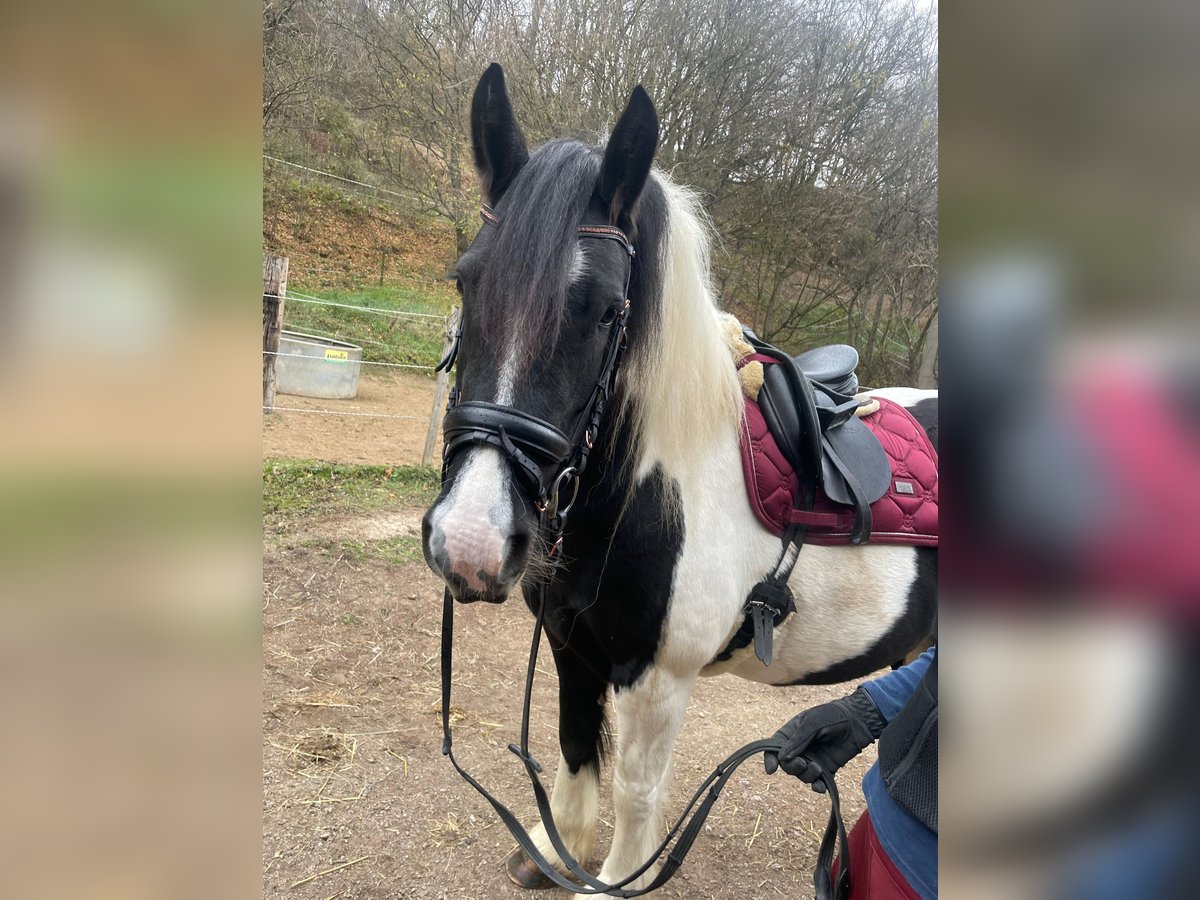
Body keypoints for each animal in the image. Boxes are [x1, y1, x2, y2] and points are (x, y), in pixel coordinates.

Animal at [422, 63, 936, 897]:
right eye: (466, 281)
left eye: (607, 311)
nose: (470, 539)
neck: (646, 495)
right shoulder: (571, 646)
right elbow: (573, 749)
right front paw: (555, 849)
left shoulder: (656, 678)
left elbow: (636, 793)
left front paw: (613, 878)